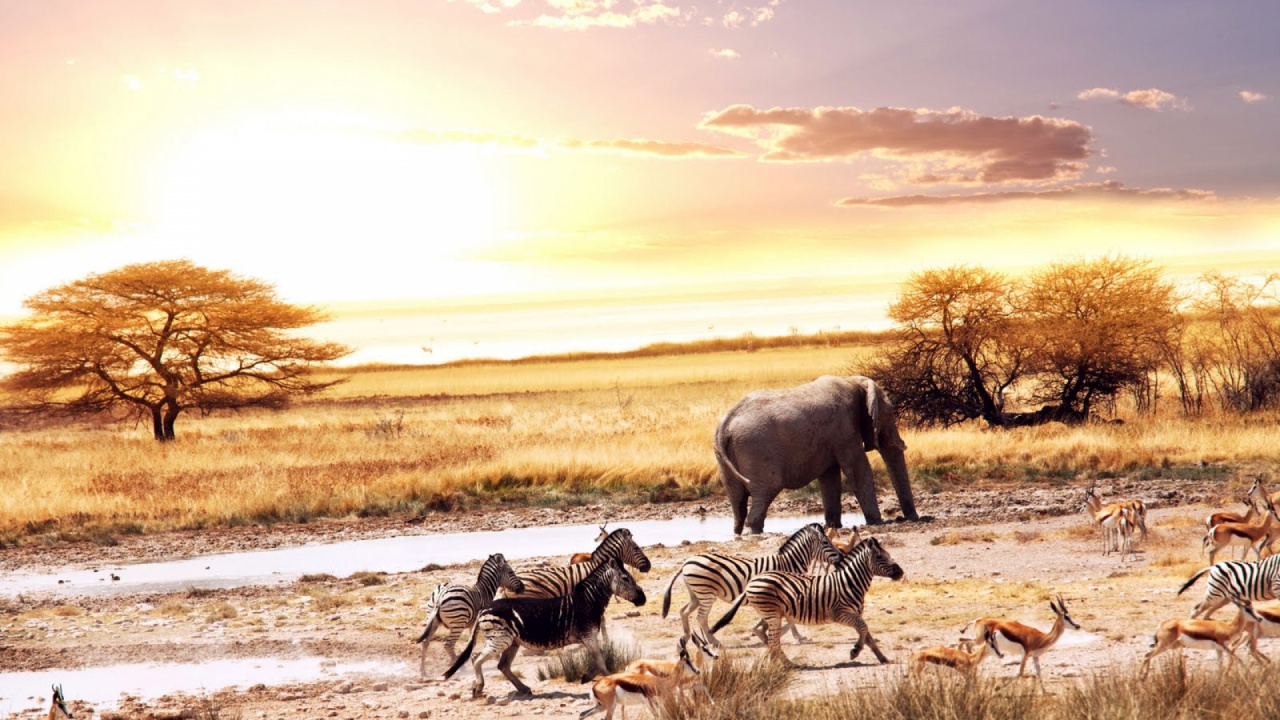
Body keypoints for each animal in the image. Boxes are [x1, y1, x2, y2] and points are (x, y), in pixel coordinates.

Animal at [442, 558, 647, 699]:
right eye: (626, 578)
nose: (643, 599)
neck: (588, 601)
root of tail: (484, 609)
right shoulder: (588, 636)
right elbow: (602, 661)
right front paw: (609, 681)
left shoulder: (588, 638)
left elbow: (598, 661)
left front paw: (587, 677)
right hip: (500, 640)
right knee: (477, 659)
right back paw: (478, 688)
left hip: (511, 642)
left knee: (502, 665)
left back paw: (523, 688)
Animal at [660, 522, 843, 647]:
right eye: (826, 543)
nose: (841, 557)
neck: (788, 563)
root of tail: (687, 561)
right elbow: (788, 619)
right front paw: (794, 637)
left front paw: (784, 635)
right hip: (706, 594)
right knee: (701, 617)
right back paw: (713, 640)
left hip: (696, 594)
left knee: (683, 611)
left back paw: (686, 636)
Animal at [710, 536, 904, 664]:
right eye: (880, 557)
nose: (900, 572)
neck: (849, 582)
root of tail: (753, 580)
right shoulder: (840, 614)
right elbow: (863, 629)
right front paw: (855, 652)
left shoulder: (856, 614)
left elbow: (868, 635)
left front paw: (882, 657)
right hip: (772, 614)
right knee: (772, 640)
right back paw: (786, 663)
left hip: (771, 614)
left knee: (763, 634)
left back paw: (779, 661)